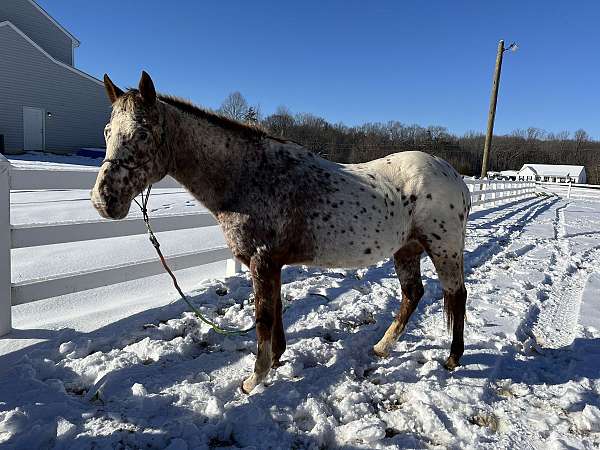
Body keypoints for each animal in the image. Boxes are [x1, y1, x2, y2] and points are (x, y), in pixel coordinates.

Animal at [91, 72, 472, 392]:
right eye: (107, 132)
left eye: (142, 133)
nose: (103, 200)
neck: (248, 177)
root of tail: (456, 177)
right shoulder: (269, 264)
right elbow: (275, 313)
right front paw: (274, 361)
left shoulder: (262, 262)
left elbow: (263, 318)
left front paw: (253, 380)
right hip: (406, 249)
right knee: (412, 294)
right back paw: (382, 347)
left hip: (444, 249)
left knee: (456, 294)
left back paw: (452, 358)